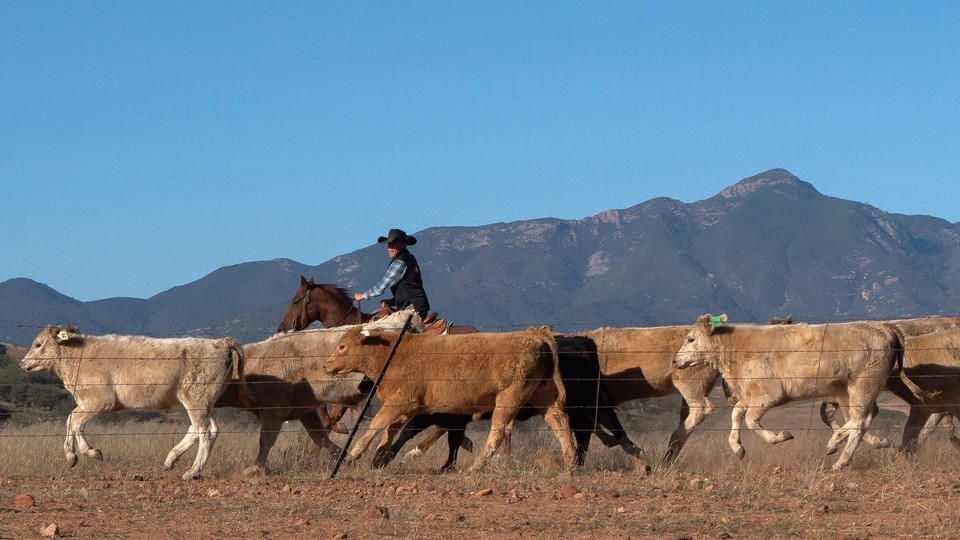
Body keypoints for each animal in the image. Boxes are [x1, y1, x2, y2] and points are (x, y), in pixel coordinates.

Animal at [19, 324, 244, 480]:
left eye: (38, 344)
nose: (22, 364)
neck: (77, 356)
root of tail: (219, 342)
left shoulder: (100, 400)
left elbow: (73, 420)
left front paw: (79, 453)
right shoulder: (86, 401)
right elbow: (72, 422)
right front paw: (78, 453)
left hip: (197, 397)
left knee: (204, 432)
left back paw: (192, 471)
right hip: (203, 402)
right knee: (206, 429)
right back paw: (171, 460)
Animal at [324, 326, 578, 472]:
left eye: (343, 346)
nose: (326, 365)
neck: (393, 353)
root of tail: (538, 336)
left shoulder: (401, 401)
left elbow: (377, 424)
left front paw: (353, 455)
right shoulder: (410, 406)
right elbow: (392, 429)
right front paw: (379, 457)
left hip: (509, 397)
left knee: (498, 432)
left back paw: (476, 466)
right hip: (545, 397)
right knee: (560, 426)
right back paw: (570, 464)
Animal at [672, 314, 927, 470]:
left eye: (691, 338)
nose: (675, 360)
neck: (736, 350)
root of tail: (884, 327)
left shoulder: (768, 395)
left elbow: (751, 420)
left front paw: (779, 436)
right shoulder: (748, 394)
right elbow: (736, 414)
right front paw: (737, 448)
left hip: (862, 386)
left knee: (859, 422)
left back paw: (840, 456)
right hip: (853, 391)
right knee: (862, 419)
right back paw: (853, 443)